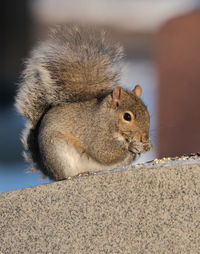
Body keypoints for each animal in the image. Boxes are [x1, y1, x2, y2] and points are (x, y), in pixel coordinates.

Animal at [15, 24, 152, 181]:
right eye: (127, 117)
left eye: (147, 112)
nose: (144, 137)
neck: (107, 118)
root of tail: (48, 170)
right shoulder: (94, 133)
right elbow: (103, 152)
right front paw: (131, 146)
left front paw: (145, 146)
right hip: (58, 153)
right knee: (64, 175)